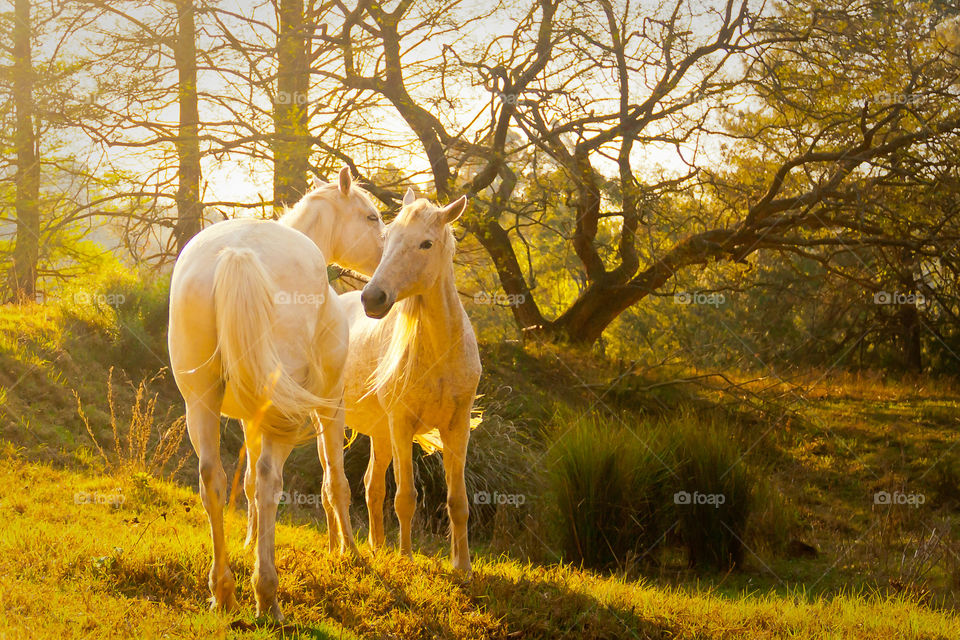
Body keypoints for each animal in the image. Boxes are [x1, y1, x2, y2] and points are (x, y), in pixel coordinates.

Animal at [169, 166, 382, 620]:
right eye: (371, 217)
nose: (382, 263)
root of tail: (237, 254)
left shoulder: (251, 415)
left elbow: (246, 483)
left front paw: (249, 543)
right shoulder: (331, 407)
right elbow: (336, 480)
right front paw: (352, 553)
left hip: (201, 404)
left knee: (213, 479)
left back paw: (224, 591)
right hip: (284, 418)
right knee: (270, 479)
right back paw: (266, 596)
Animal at [342, 189, 484, 568]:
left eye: (426, 243)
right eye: (388, 237)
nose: (372, 298)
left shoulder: (457, 427)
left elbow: (458, 502)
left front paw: (462, 566)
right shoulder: (401, 424)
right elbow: (405, 497)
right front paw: (405, 559)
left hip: (380, 434)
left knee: (371, 485)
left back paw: (376, 546)